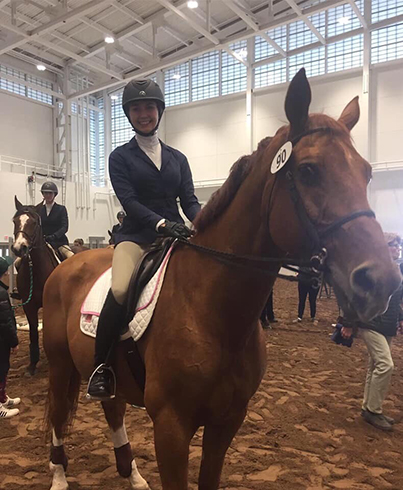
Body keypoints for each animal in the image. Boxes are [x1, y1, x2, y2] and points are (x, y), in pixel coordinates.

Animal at [41, 70, 400, 490]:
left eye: (367, 173)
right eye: (309, 170)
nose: (381, 281)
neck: (211, 312)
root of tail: (66, 264)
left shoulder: (227, 423)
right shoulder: (171, 429)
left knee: (112, 409)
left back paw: (133, 475)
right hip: (59, 365)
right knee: (58, 413)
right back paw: (60, 475)